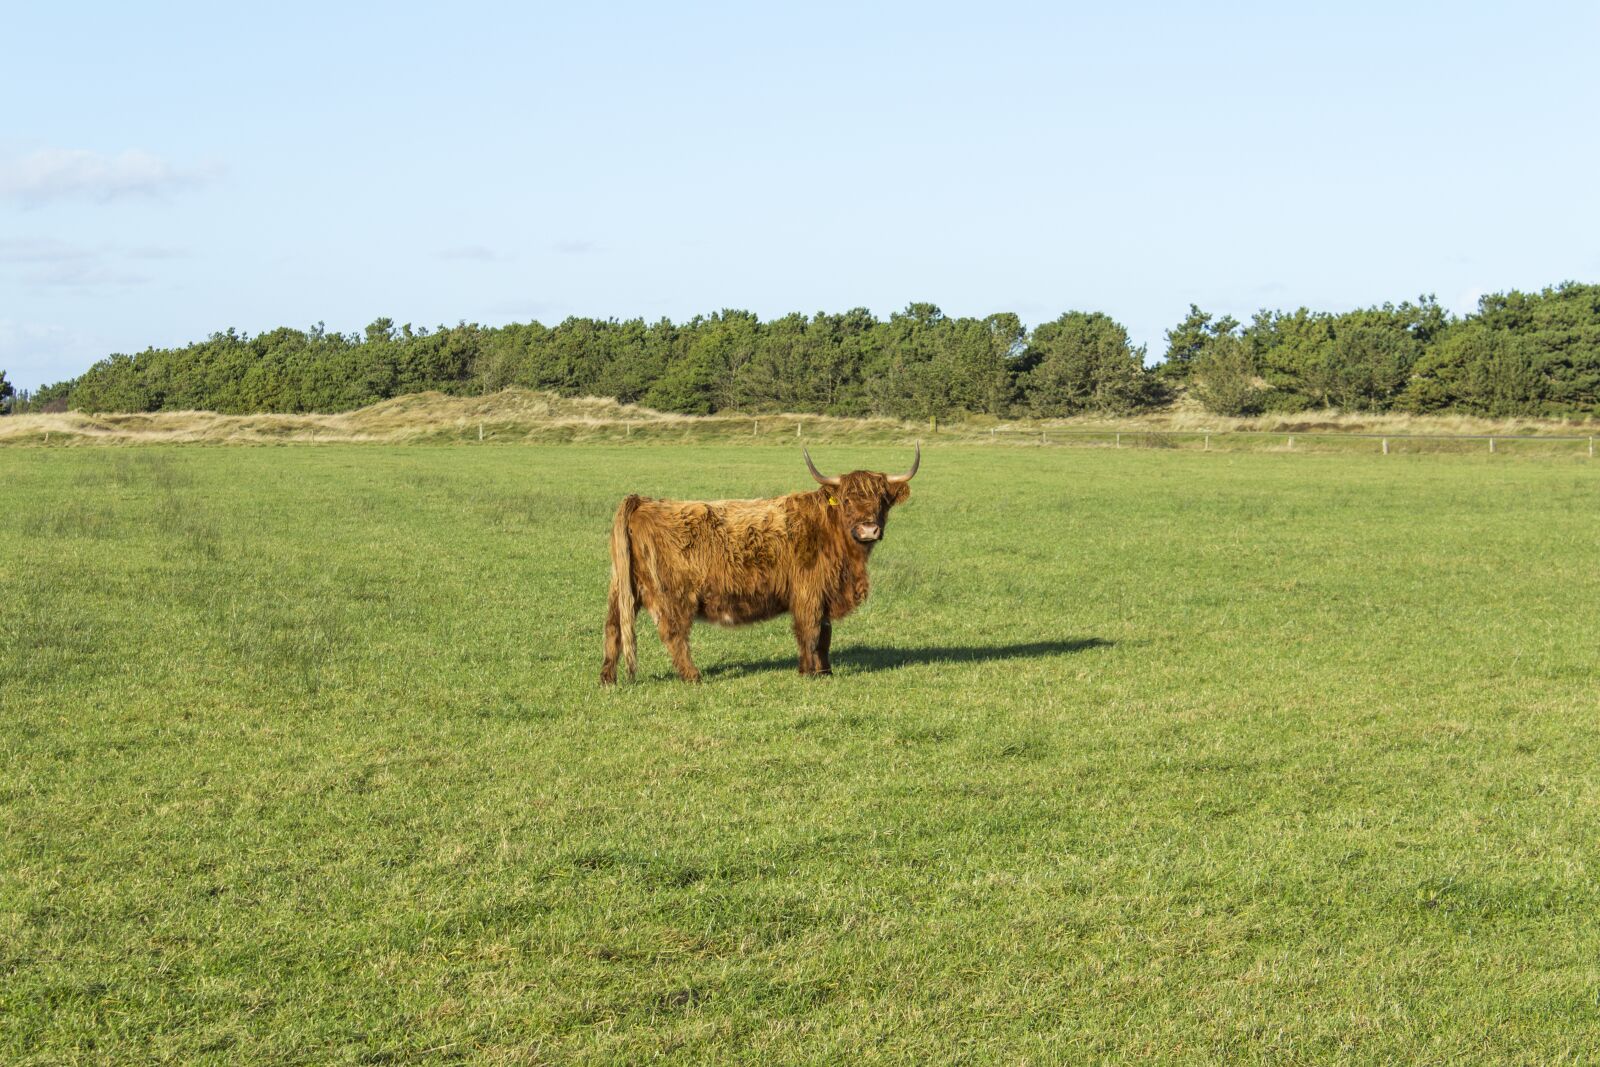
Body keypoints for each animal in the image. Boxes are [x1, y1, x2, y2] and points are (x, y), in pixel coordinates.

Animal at [600, 446, 920, 684]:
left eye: (882, 500)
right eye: (846, 500)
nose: (868, 529)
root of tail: (642, 502)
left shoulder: (825, 594)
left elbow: (825, 635)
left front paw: (826, 672)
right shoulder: (808, 593)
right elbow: (810, 631)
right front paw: (808, 672)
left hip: (622, 588)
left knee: (613, 626)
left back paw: (608, 678)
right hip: (674, 596)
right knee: (673, 633)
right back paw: (693, 676)